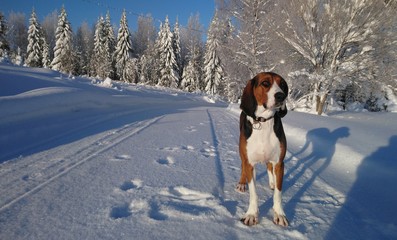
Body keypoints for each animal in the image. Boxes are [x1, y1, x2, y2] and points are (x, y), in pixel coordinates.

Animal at [235, 72, 288, 226]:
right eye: (265, 83)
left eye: (283, 85)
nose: (281, 96)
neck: (263, 122)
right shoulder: (249, 163)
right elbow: (254, 193)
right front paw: (251, 214)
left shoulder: (279, 162)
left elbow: (278, 193)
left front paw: (279, 214)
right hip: (243, 156)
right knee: (242, 166)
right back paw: (242, 183)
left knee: (269, 167)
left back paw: (272, 181)